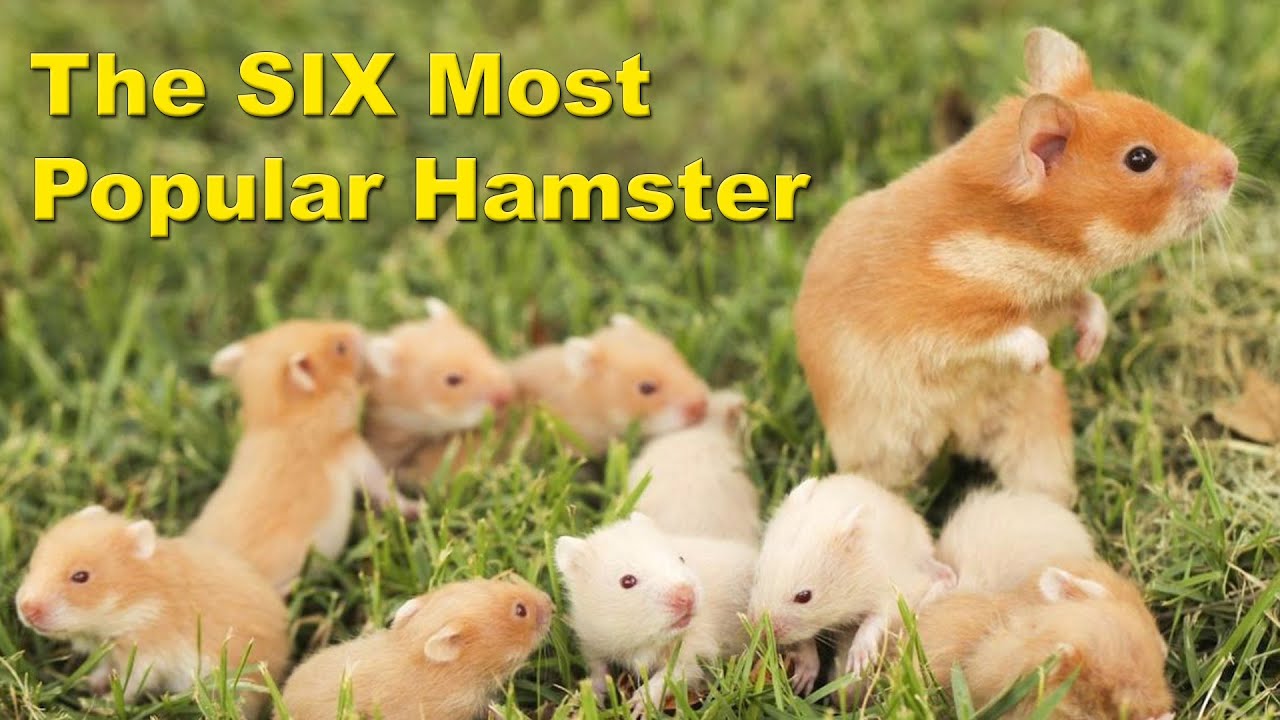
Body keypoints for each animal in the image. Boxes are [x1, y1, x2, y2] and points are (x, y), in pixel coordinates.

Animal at [14, 506, 290, 716]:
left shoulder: (147, 659)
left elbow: (131, 686)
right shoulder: (111, 650)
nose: (26, 611)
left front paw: (105, 703)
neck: (135, 603)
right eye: (34, 563)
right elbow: (105, 668)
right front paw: (90, 683)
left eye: (81, 576)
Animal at [189, 320, 418, 593]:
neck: (282, 420)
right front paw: (417, 507)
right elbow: (384, 487)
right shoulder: (353, 452)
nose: (356, 329)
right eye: (340, 348)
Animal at [554, 513, 756, 713]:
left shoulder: (696, 649)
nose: (687, 597)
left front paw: (638, 706)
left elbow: (670, 675)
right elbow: (597, 669)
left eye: (681, 559)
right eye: (627, 581)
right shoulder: (592, 640)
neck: (640, 640)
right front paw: (587, 701)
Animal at [748, 474, 954, 695]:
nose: (758, 631)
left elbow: (875, 621)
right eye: (757, 575)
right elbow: (803, 641)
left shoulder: (891, 592)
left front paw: (858, 663)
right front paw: (802, 681)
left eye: (804, 596)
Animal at [794, 27, 1238, 505]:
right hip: (885, 451)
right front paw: (1041, 358)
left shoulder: (1055, 295)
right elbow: (999, 335)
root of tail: (958, 434)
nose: (1233, 164)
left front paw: (1087, 352)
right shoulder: (939, 325)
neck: (1021, 238)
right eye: (1140, 159)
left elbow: (1089, 303)